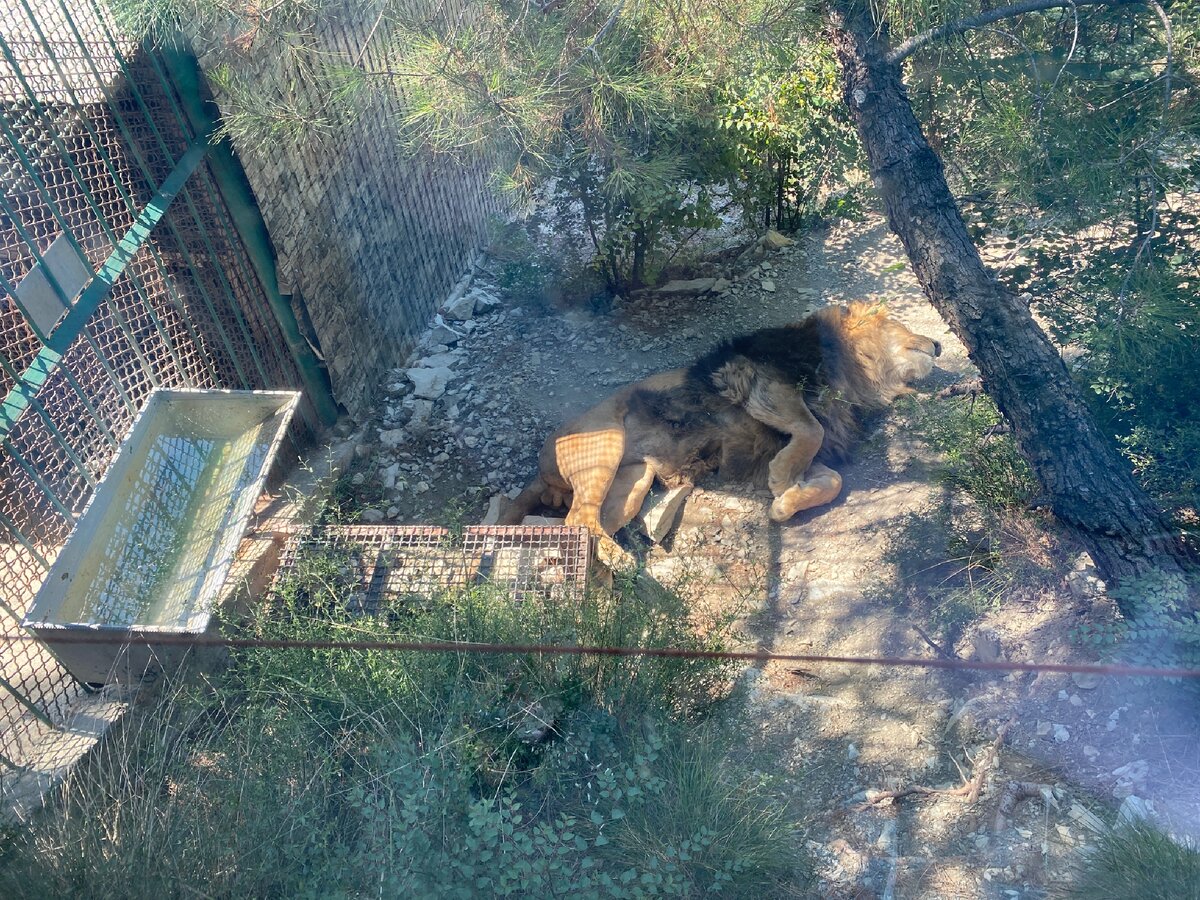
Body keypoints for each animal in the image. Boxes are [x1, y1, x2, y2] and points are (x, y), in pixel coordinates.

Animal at [492, 303, 940, 571]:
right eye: (902, 326)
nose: (937, 343)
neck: (859, 373)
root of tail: (540, 471)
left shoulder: (786, 439)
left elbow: (833, 481)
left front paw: (784, 504)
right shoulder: (758, 379)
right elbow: (809, 429)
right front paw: (782, 482)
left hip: (633, 479)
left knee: (590, 523)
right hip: (605, 444)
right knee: (577, 518)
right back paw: (621, 565)